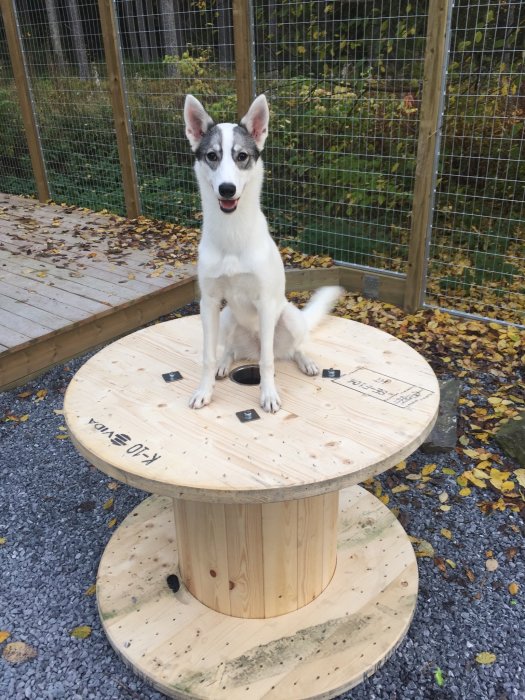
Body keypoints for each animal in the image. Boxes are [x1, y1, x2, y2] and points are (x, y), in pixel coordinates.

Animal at [182, 92, 342, 410]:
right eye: (212, 156)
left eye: (242, 156)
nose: (227, 189)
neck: (232, 235)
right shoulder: (209, 302)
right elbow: (207, 357)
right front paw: (204, 390)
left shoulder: (266, 304)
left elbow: (268, 362)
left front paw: (268, 394)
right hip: (227, 317)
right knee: (231, 350)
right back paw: (225, 363)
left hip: (289, 317)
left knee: (288, 350)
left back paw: (306, 361)